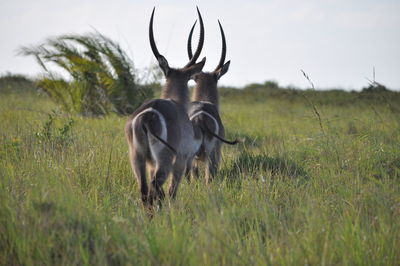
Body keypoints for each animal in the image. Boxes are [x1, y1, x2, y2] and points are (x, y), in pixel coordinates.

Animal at [125, 6, 206, 206]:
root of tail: (147, 116)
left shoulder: (150, 163)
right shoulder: (182, 158)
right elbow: (173, 190)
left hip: (137, 158)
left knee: (145, 191)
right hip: (165, 159)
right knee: (155, 187)